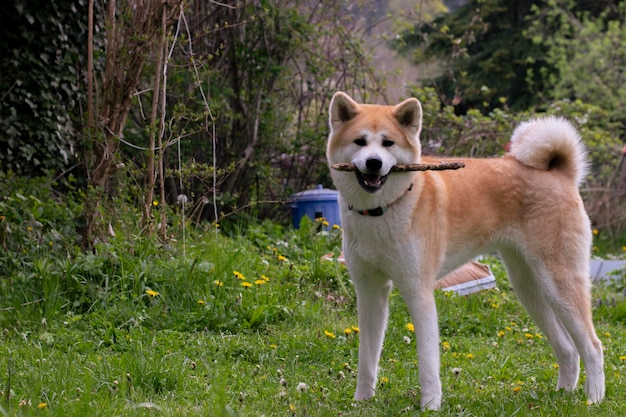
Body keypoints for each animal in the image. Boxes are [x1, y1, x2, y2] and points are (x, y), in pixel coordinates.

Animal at [324, 92, 604, 410]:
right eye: (360, 142)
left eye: (388, 143)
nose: (373, 163)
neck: (380, 212)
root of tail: (560, 172)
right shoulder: (370, 292)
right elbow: (367, 359)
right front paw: (361, 401)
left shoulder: (419, 291)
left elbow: (427, 363)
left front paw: (430, 406)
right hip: (530, 290)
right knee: (568, 348)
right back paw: (563, 394)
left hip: (559, 284)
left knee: (593, 346)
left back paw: (594, 399)